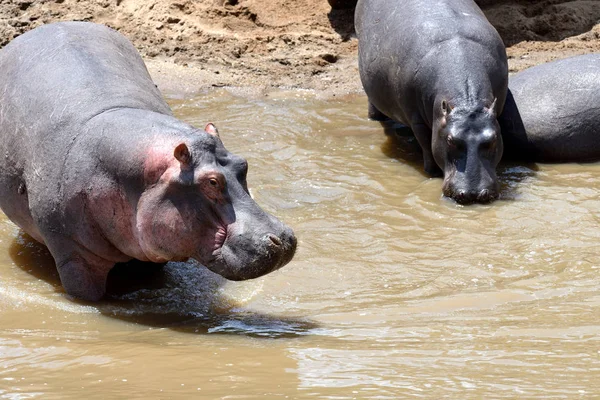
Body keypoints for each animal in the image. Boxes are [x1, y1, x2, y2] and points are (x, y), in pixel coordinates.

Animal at [354, 0, 508, 205]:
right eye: (450, 140)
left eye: (493, 139)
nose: (474, 194)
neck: (466, 105)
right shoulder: (417, 119)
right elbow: (427, 145)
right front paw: (432, 173)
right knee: (374, 108)